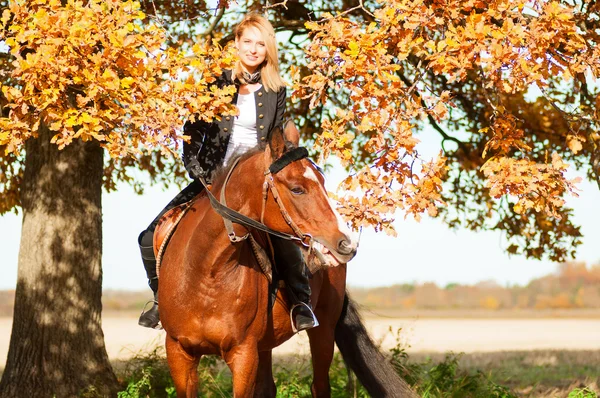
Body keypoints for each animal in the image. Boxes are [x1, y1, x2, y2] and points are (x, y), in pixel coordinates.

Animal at [157, 126, 414, 396]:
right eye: (297, 189)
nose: (347, 244)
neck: (206, 272)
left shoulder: (243, 354)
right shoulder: (179, 353)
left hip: (322, 331)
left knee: (319, 386)